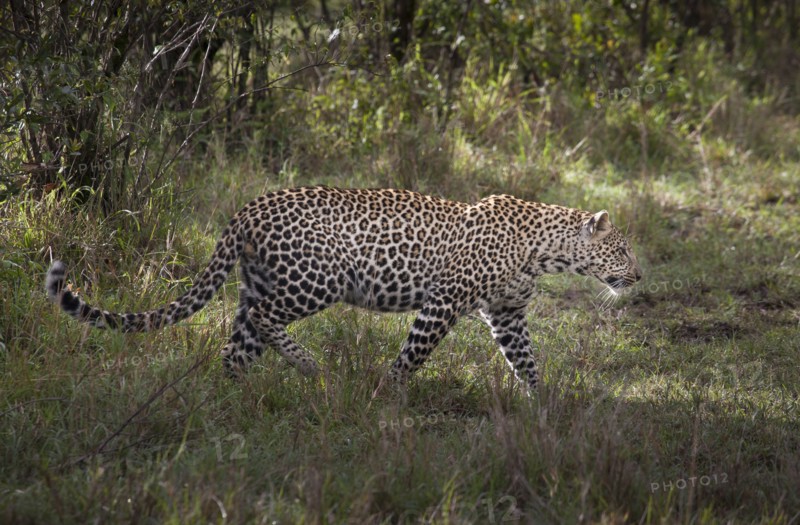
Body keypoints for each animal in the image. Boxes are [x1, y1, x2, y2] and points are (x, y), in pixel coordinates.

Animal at [46, 186, 642, 391]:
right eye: (624, 250)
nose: (639, 277)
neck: (546, 249)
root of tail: (248, 208)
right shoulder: (444, 301)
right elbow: (413, 355)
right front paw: (386, 394)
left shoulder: (508, 314)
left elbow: (528, 362)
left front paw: (546, 410)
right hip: (316, 280)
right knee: (262, 319)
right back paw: (312, 367)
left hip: (263, 282)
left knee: (239, 340)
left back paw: (234, 395)